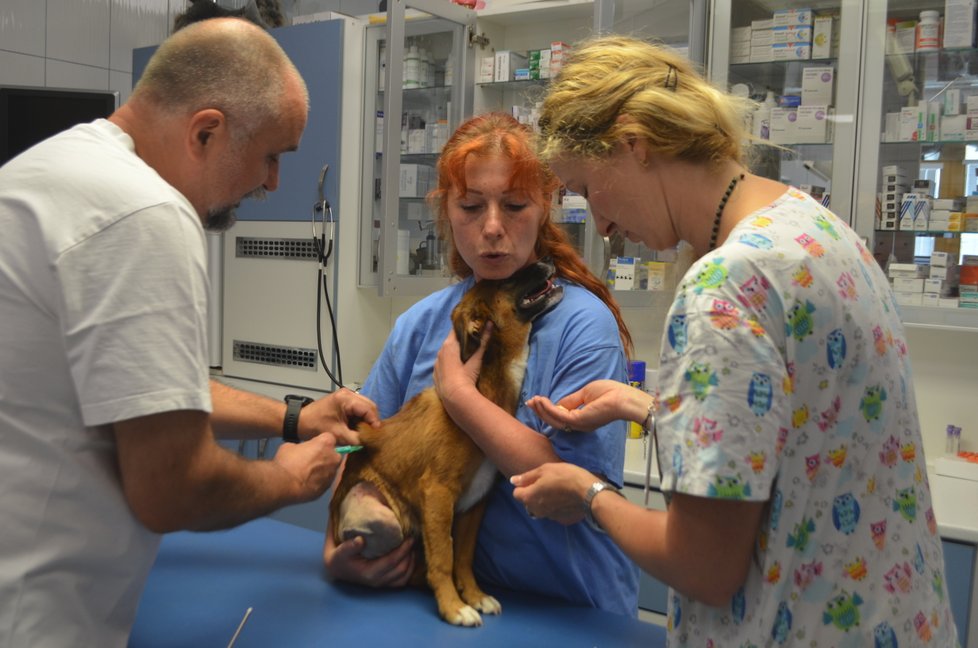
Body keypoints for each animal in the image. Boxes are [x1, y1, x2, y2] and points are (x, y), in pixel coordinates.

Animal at [330, 260, 560, 628]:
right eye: (509, 278)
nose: (545, 261)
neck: (484, 388)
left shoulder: (476, 503)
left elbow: (462, 557)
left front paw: (475, 595)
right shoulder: (437, 493)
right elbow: (443, 557)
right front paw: (453, 607)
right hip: (383, 519)